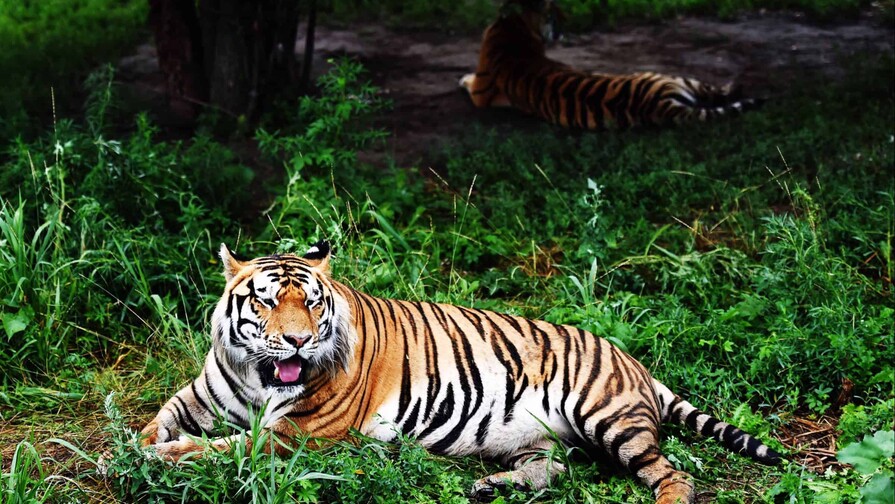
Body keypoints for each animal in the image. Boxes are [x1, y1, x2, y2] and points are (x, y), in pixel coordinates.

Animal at [141, 242, 782, 504]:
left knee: (674, 475)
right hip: (535, 438)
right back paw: (491, 487)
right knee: (553, 470)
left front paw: (163, 457)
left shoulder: (301, 432)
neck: (258, 374)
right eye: (268, 301)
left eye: (314, 304)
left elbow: (222, 448)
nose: (298, 338)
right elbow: (162, 419)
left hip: (606, 416)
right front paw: (139, 444)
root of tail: (636, 362)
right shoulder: (201, 395)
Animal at [460, 0, 760, 129]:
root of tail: (660, 106)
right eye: (554, 12)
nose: (568, 20)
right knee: (717, 91)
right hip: (672, 78)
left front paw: (462, 77)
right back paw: (736, 85)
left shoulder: (480, 93)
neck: (515, 26)